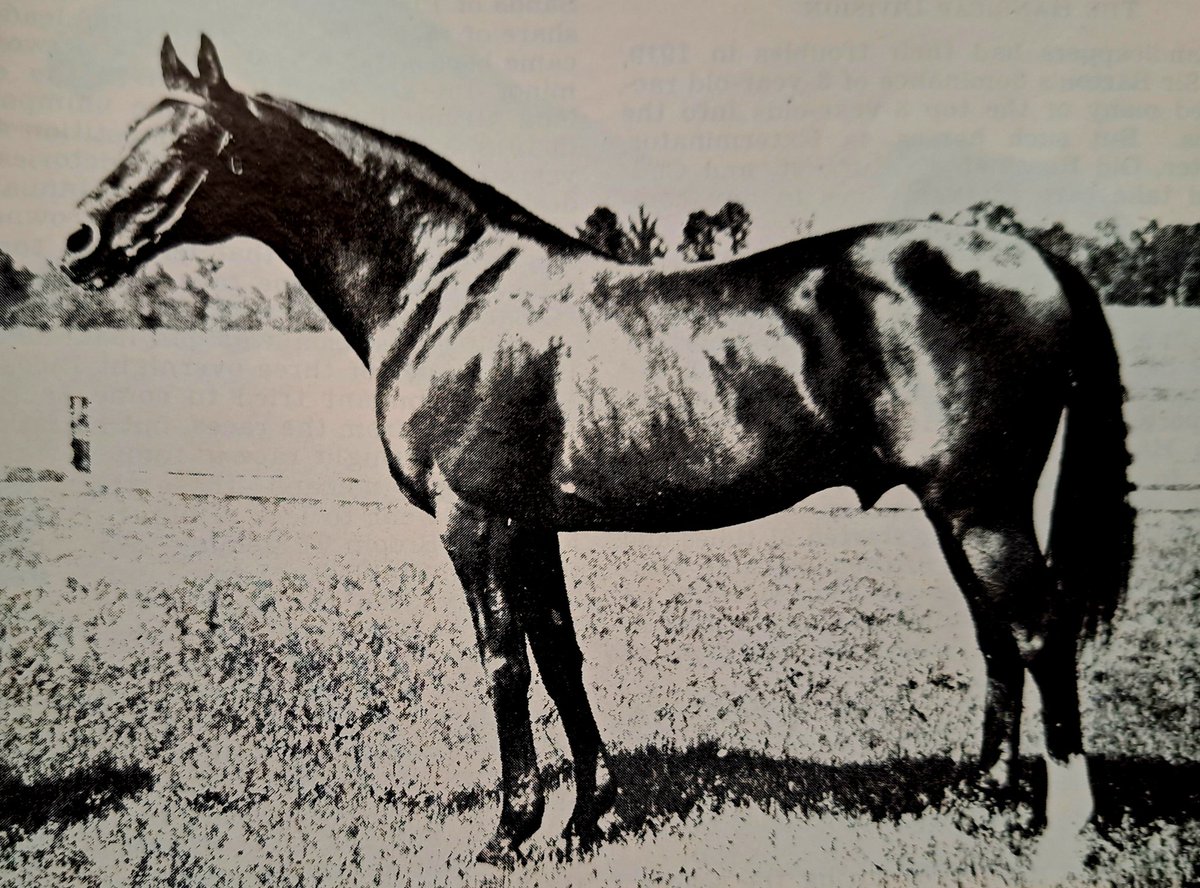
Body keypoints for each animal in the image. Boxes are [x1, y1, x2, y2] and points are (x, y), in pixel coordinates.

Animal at [61, 36, 1133, 864]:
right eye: (127, 131)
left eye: (190, 139)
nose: (78, 242)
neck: (446, 290)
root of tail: (1031, 255)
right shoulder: (531, 521)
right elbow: (561, 655)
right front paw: (586, 818)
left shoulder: (473, 519)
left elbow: (503, 661)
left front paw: (510, 831)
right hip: (957, 508)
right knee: (997, 636)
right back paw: (981, 800)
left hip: (981, 503)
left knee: (1039, 632)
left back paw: (1063, 827)